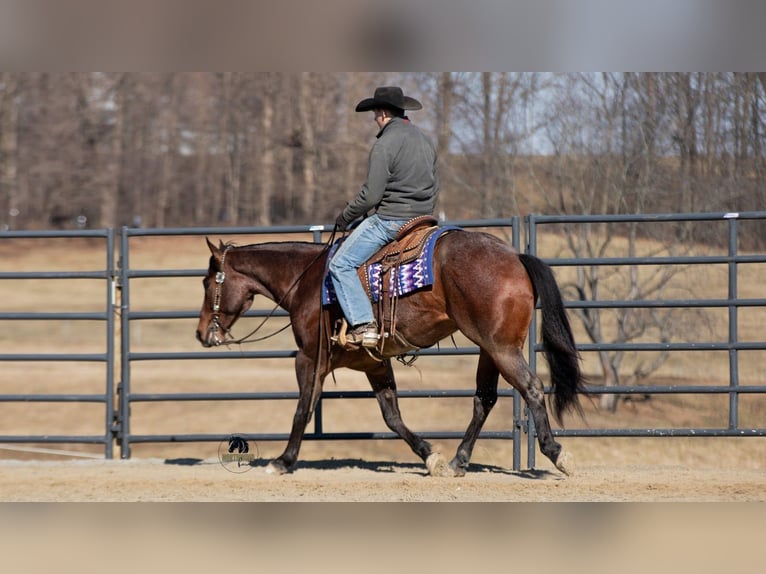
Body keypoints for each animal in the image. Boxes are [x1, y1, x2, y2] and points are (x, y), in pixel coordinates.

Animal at [195, 227, 585, 477]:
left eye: (206, 282)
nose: (201, 333)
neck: (306, 281)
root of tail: (516, 257)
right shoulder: (375, 364)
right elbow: (392, 416)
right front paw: (430, 456)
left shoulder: (308, 358)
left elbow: (302, 411)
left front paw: (284, 461)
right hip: (489, 350)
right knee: (483, 399)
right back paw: (458, 461)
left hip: (501, 349)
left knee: (531, 387)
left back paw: (557, 454)